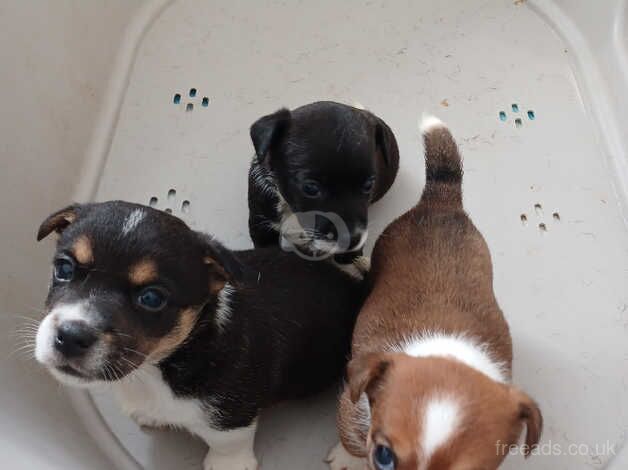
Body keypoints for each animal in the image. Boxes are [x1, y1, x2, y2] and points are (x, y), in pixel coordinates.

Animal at [34, 201, 366, 470]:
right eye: (64, 268)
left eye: (152, 298)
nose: (70, 337)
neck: (165, 363)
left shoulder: (233, 417)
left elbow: (227, 444)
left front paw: (228, 465)